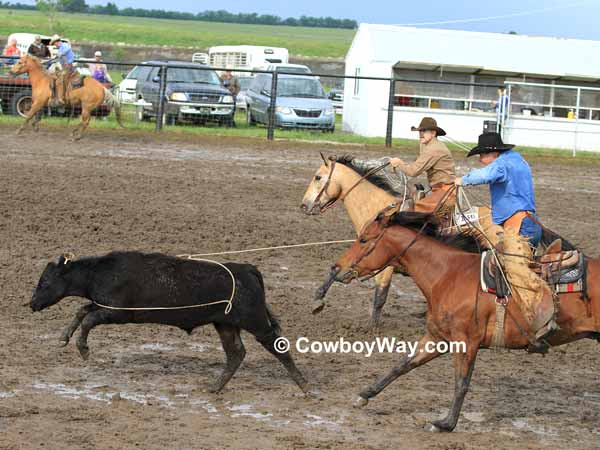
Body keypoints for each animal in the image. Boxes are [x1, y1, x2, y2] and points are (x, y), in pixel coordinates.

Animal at [302, 154, 410, 326]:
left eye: (318, 177)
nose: (304, 205)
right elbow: (337, 269)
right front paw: (318, 298)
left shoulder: (384, 265)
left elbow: (380, 296)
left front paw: (372, 328)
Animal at [330, 211, 596, 432]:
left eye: (364, 239)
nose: (335, 268)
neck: (448, 274)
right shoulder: (437, 338)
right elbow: (403, 365)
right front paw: (365, 394)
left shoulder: (465, 342)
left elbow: (461, 383)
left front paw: (445, 424)